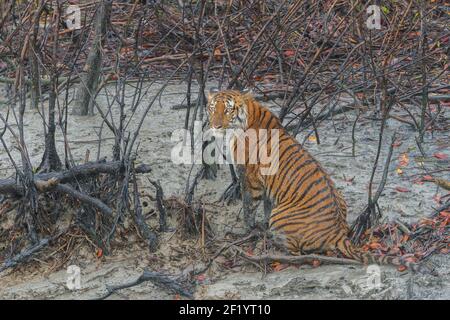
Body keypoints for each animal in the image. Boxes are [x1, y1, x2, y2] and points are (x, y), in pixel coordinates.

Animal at [207, 88, 428, 272]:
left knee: (296, 251)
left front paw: (248, 229)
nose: (215, 125)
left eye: (228, 110)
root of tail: (338, 233)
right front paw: (260, 224)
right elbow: (266, 205)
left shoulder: (250, 179)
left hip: (282, 216)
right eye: (212, 108)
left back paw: (271, 240)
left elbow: (249, 207)